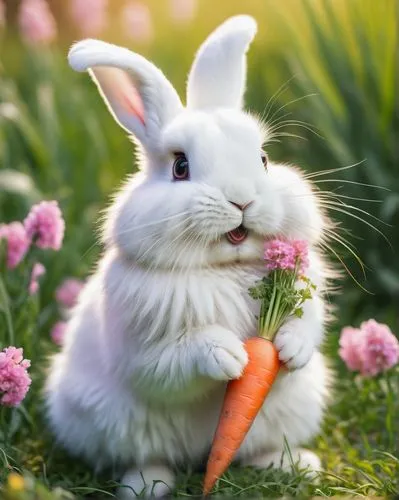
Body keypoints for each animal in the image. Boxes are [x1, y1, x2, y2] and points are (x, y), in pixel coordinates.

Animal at [46, 14, 332, 496]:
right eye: (180, 167)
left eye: (263, 158)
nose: (242, 199)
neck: (224, 269)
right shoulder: (144, 351)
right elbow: (173, 364)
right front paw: (230, 356)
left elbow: (304, 330)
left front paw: (289, 348)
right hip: (115, 423)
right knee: (145, 456)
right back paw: (146, 484)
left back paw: (295, 465)